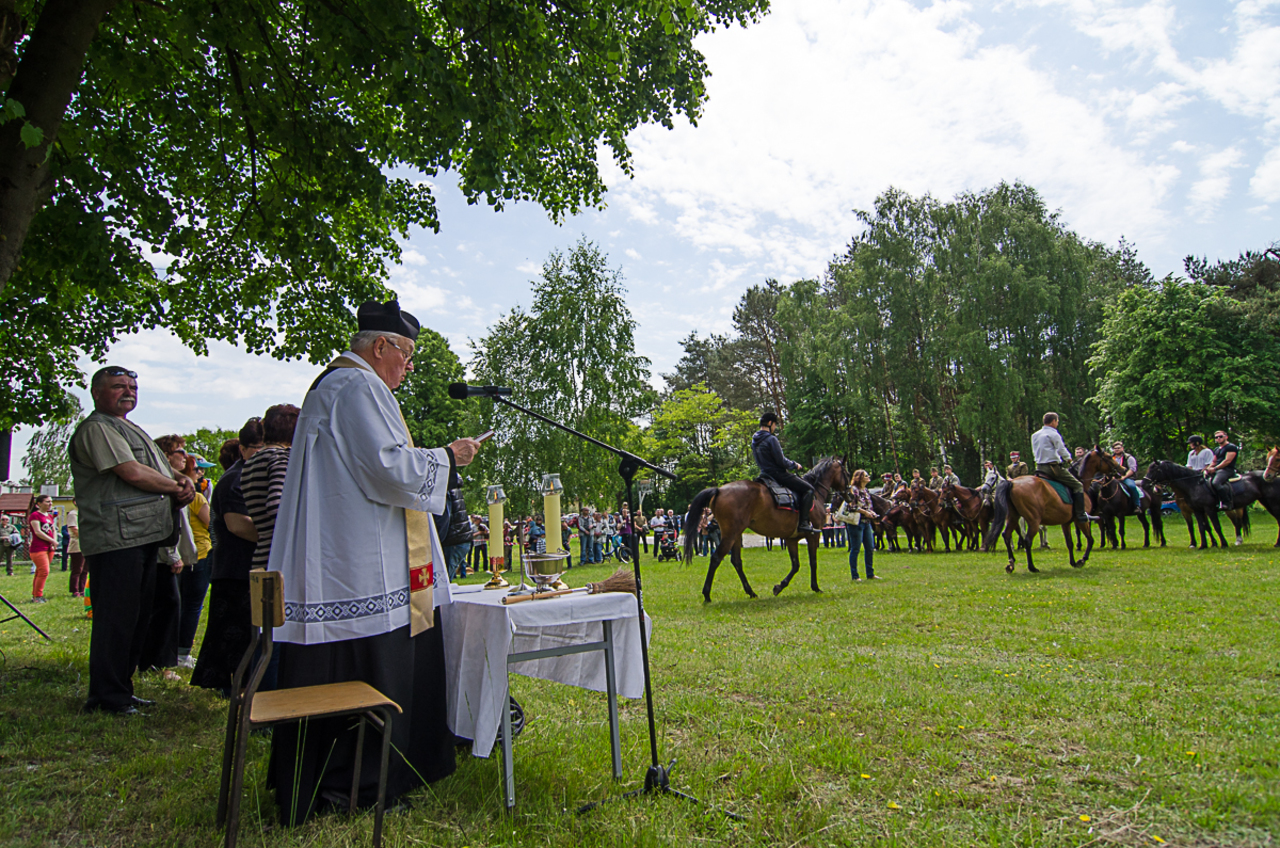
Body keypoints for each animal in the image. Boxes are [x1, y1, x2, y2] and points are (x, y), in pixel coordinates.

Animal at [686, 458, 844, 604]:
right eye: (846, 472)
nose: (847, 491)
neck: (815, 494)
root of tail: (719, 490)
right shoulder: (813, 536)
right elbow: (813, 562)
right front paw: (815, 587)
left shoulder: (791, 539)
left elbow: (796, 565)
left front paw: (779, 587)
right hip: (730, 535)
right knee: (716, 558)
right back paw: (707, 594)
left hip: (736, 535)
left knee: (736, 561)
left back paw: (751, 592)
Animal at [977, 448, 1121, 573]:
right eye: (1109, 457)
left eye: (992, 478)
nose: (1121, 469)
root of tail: (1012, 483)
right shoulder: (1081, 520)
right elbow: (1090, 540)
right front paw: (1082, 560)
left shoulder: (1066, 522)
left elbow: (1070, 542)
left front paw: (1073, 562)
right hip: (1032, 520)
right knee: (1028, 539)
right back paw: (1032, 566)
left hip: (1014, 517)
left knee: (1007, 535)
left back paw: (1013, 563)